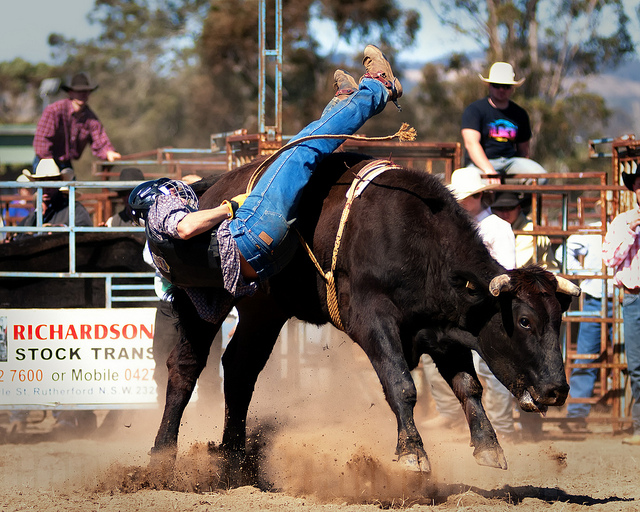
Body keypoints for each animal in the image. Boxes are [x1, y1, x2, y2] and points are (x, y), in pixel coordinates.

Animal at [151, 151, 580, 472]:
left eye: (558, 320)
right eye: (524, 321)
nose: (557, 390)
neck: (422, 246)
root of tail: (209, 190)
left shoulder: (443, 329)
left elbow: (467, 386)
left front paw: (489, 446)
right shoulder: (372, 318)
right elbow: (401, 384)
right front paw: (412, 453)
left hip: (264, 311)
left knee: (240, 368)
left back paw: (235, 458)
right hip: (201, 296)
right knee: (186, 365)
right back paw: (163, 454)